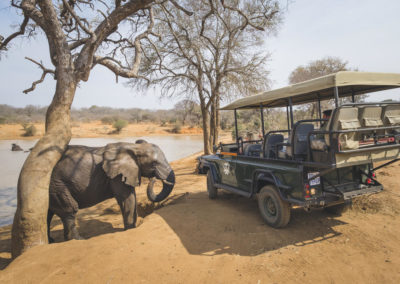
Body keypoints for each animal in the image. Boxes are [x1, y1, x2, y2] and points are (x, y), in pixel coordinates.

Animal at [47, 140, 175, 242]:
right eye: (154, 164)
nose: (154, 178)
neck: (134, 147)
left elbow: (130, 197)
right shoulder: (117, 175)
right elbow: (127, 198)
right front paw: (130, 229)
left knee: (48, 213)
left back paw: (51, 240)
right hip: (56, 184)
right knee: (69, 209)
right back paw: (78, 240)